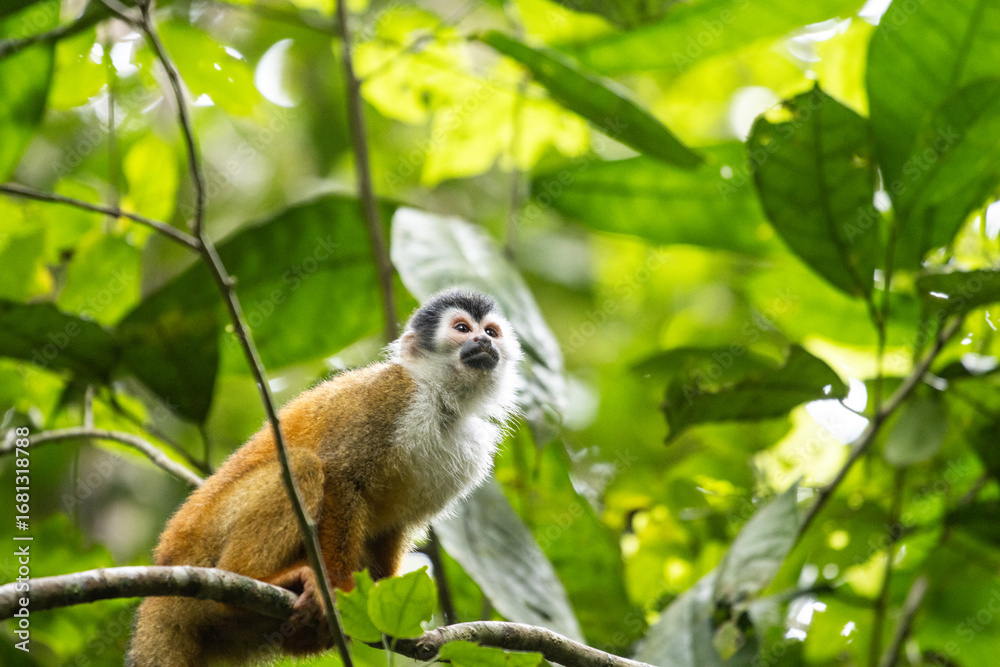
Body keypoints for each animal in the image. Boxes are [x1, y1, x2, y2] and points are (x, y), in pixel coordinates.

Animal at [127, 289, 522, 666]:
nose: (482, 341)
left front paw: (385, 614)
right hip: (203, 543)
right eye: (462, 329)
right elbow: (340, 477)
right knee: (302, 466)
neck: (442, 400)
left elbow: (395, 525)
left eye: (490, 332)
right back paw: (253, 580)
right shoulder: (391, 396)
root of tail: (167, 566)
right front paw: (340, 589)